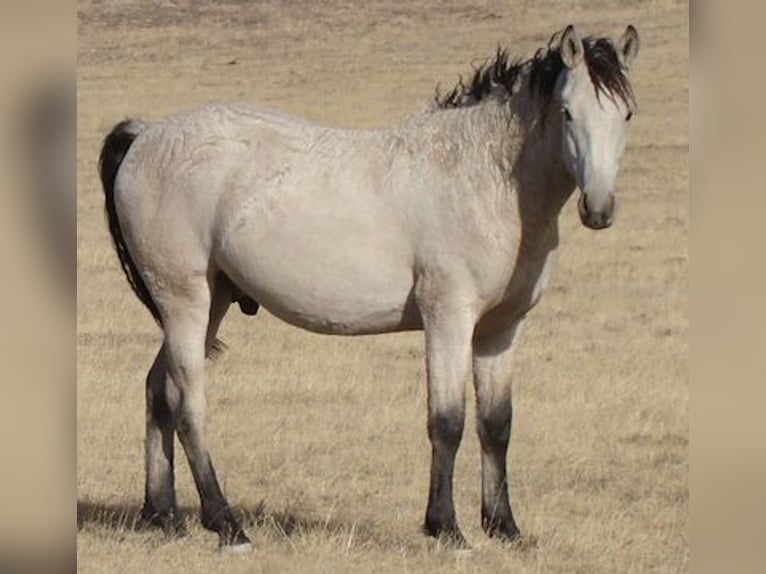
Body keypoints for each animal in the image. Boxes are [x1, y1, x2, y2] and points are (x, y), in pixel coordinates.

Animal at [100, 24, 640, 552]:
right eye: (568, 113)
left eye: (627, 114)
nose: (598, 208)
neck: (482, 177)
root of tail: (147, 134)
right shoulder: (448, 320)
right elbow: (447, 421)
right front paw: (447, 528)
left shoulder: (501, 330)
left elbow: (497, 424)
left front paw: (504, 527)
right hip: (185, 302)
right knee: (189, 406)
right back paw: (227, 526)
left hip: (212, 301)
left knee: (159, 391)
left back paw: (163, 516)